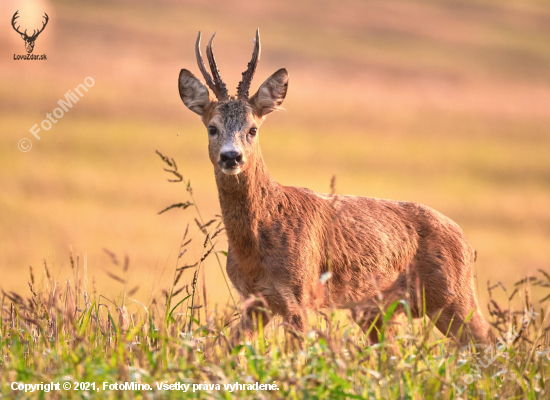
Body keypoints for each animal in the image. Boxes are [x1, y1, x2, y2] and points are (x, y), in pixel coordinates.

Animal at [179, 30, 494, 344]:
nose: (231, 156)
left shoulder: (300, 295)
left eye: (252, 129)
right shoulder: (254, 301)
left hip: (453, 295)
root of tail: (465, 241)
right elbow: (227, 348)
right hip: (378, 310)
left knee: (487, 340)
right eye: (212, 128)